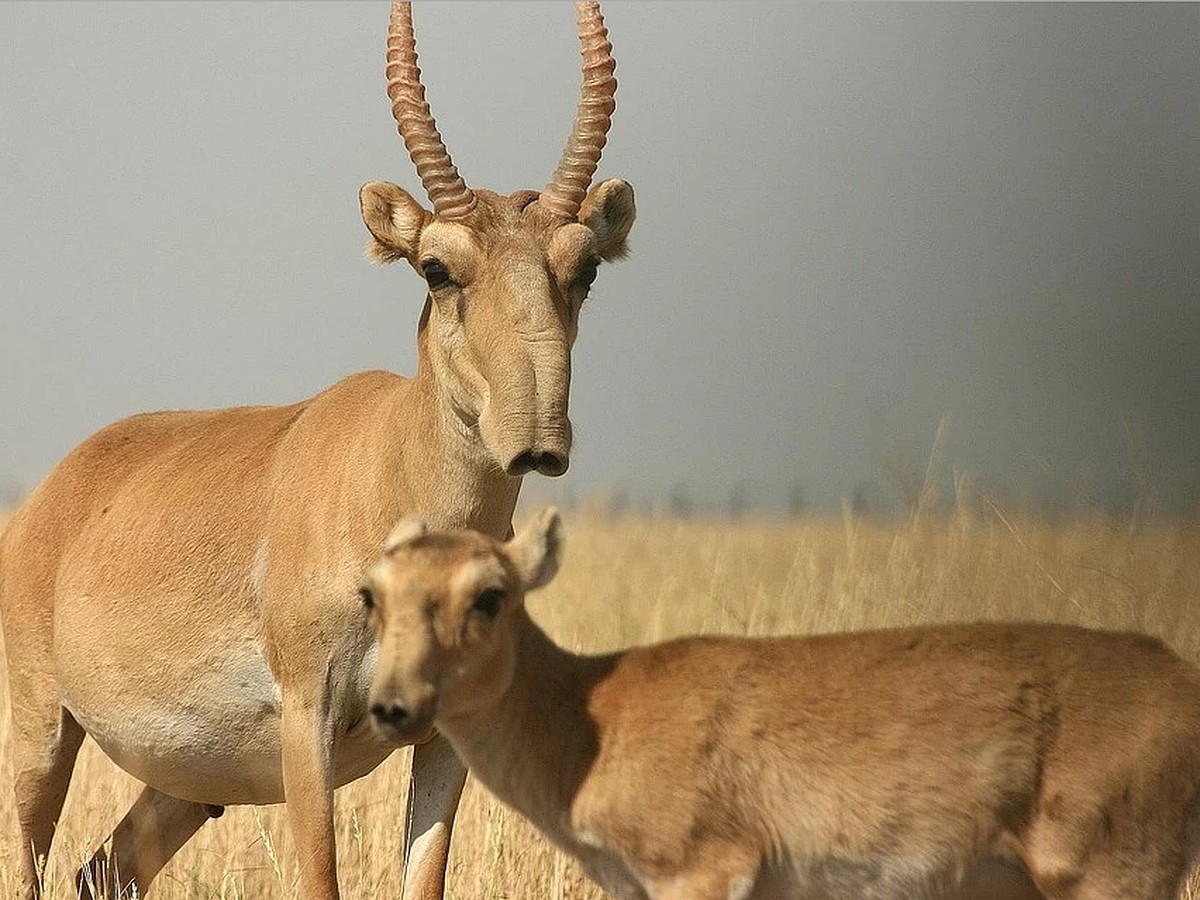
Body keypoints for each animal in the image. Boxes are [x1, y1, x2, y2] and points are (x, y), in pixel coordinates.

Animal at [0, 3, 638, 897]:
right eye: (436, 268)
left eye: (585, 269)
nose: (538, 437)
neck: (385, 464)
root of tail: (46, 503)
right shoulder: (310, 720)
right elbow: (321, 877)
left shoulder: (445, 737)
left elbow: (424, 878)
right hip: (42, 735)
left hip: (181, 789)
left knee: (105, 869)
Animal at [362, 513, 1200, 900]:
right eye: (374, 593)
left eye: (490, 596)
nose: (393, 707)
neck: (588, 715)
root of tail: (1183, 678)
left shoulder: (705, 871)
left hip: (1114, 876)